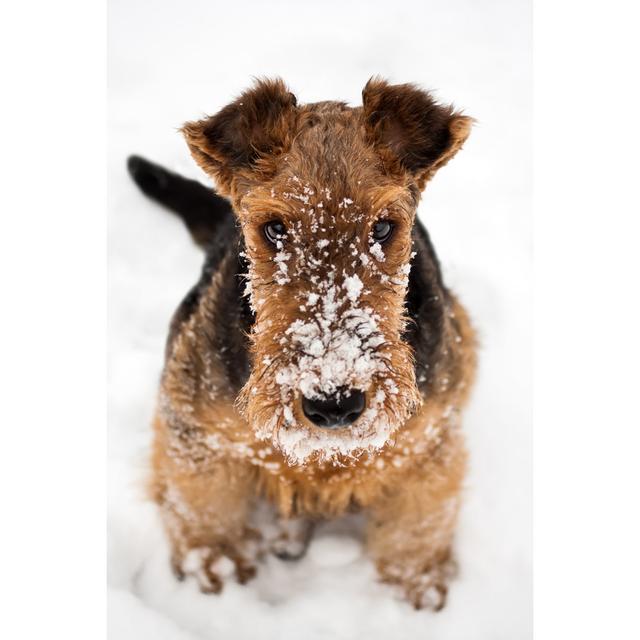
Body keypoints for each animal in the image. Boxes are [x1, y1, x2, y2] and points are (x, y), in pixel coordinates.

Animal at [126, 76, 476, 608]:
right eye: (275, 228)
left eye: (382, 227)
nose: (334, 403)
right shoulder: (195, 426)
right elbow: (204, 506)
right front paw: (217, 566)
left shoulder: (429, 440)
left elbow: (418, 523)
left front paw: (415, 584)